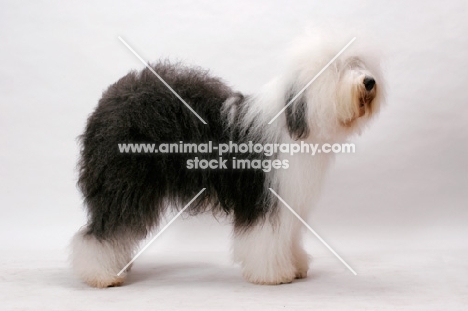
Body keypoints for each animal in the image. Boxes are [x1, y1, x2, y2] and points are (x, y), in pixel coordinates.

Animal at [69, 31, 384, 288]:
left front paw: (295, 265)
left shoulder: (289, 199)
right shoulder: (265, 197)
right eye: (337, 66)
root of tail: (113, 97)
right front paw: (273, 274)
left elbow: (287, 236)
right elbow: (266, 237)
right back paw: (101, 274)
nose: (369, 82)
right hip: (124, 182)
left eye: (358, 61)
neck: (296, 116)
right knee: (104, 230)